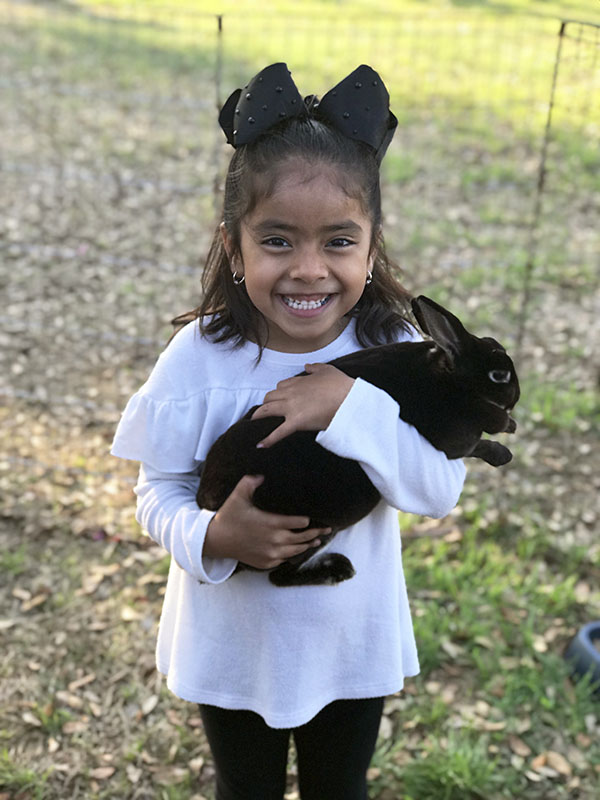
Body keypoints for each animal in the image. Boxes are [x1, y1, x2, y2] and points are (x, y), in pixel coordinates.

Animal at [199, 296, 516, 584]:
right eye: (499, 375)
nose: (516, 398)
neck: (451, 378)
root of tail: (211, 505)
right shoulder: (454, 441)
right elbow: (479, 444)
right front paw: (503, 450)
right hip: (312, 527)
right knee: (279, 576)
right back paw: (338, 570)